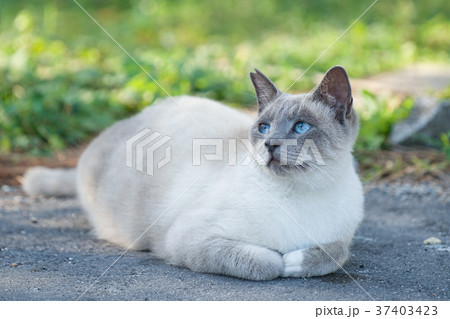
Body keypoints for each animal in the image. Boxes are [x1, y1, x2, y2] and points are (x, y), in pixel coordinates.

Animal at [22, 66, 364, 282]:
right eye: (264, 127)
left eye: (301, 127)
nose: (270, 144)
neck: (302, 194)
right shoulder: (190, 238)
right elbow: (268, 263)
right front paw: (282, 261)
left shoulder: (340, 239)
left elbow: (335, 253)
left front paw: (296, 260)